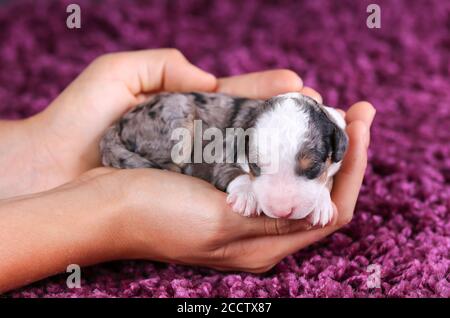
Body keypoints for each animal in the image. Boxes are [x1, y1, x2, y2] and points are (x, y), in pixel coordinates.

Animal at [101, 92, 348, 226]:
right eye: (256, 166)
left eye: (313, 167)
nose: (282, 211)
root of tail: (118, 123)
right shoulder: (222, 154)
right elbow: (233, 173)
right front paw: (247, 196)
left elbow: (326, 180)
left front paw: (322, 205)